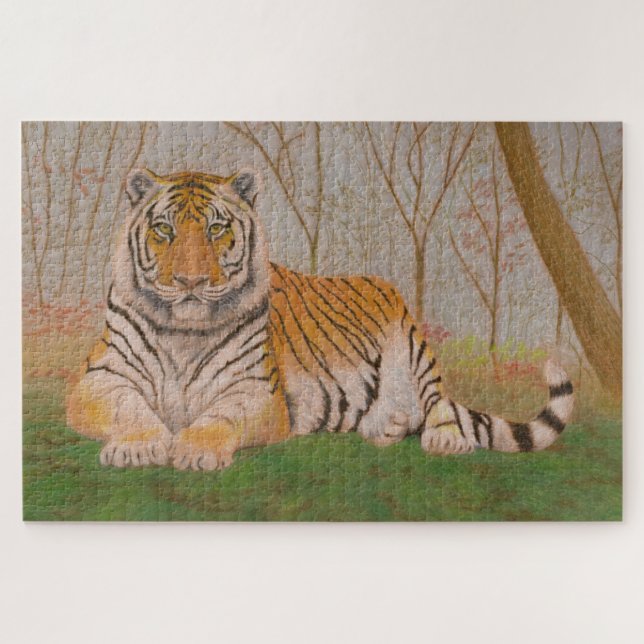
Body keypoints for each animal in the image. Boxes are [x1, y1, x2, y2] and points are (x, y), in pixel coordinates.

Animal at [67, 168, 574, 471]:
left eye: (216, 228)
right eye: (164, 230)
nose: (190, 281)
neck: (183, 333)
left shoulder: (256, 391)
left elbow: (221, 414)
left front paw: (195, 450)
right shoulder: (98, 380)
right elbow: (129, 405)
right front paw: (136, 446)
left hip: (415, 347)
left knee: (439, 406)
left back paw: (442, 438)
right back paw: (386, 426)